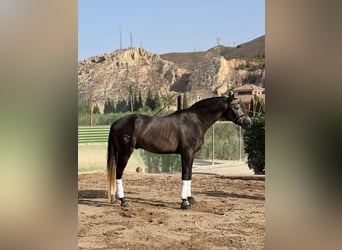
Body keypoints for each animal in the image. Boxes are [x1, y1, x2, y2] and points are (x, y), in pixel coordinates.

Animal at [107, 92, 251, 209]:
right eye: (236, 106)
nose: (248, 122)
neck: (195, 121)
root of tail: (115, 123)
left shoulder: (191, 155)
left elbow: (190, 174)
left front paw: (190, 199)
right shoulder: (187, 153)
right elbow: (185, 175)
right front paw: (184, 202)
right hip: (125, 152)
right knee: (119, 173)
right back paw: (123, 200)